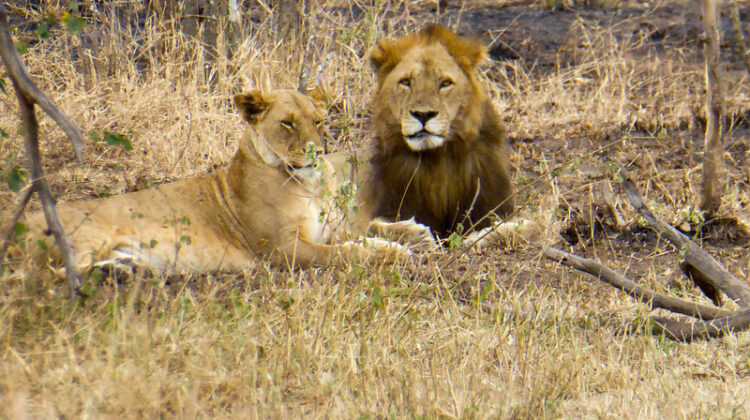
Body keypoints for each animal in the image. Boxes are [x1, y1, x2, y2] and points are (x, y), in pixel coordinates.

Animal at [22, 90, 412, 274]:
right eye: (287, 123)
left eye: (318, 121)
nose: (317, 151)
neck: (307, 185)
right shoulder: (282, 250)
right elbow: (346, 252)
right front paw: (389, 255)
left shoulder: (326, 229)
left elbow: (364, 232)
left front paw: (408, 239)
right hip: (86, 237)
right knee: (54, 274)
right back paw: (115, 275)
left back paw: (127, 269)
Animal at [368, 25, 520, 240]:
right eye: (406, 82)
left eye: (445, 83)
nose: (423, 114)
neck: (437, 158)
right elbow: (375, 225)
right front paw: (417, 234)